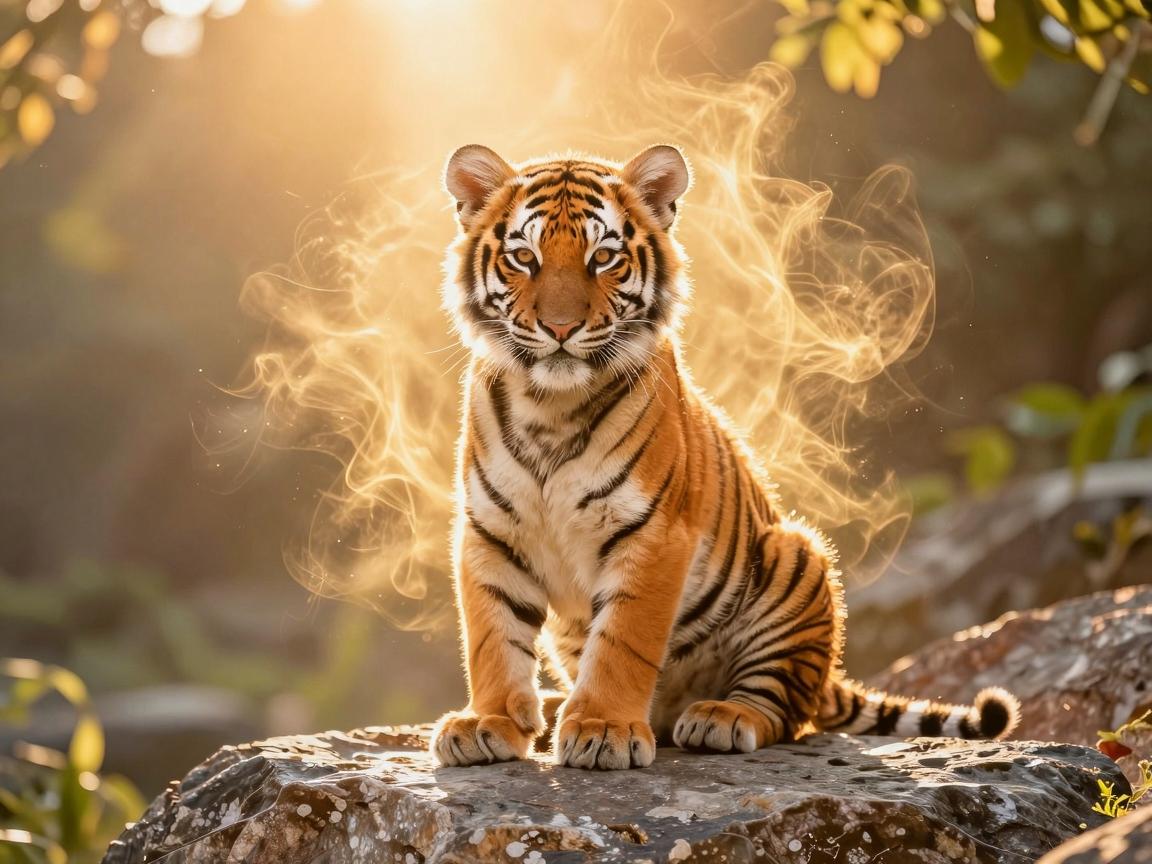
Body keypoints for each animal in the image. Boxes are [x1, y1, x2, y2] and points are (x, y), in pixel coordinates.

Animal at [430, 143, 1019, 770]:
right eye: (523, 257)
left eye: (603, 257)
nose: (560, 327)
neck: (551, 406)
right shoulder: (490, 534)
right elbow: (493, 638)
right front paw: (488, 722)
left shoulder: (654, 534)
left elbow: (621, 641)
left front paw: (604, 729)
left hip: (798, 557)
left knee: (783, 708)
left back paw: (720, 717)